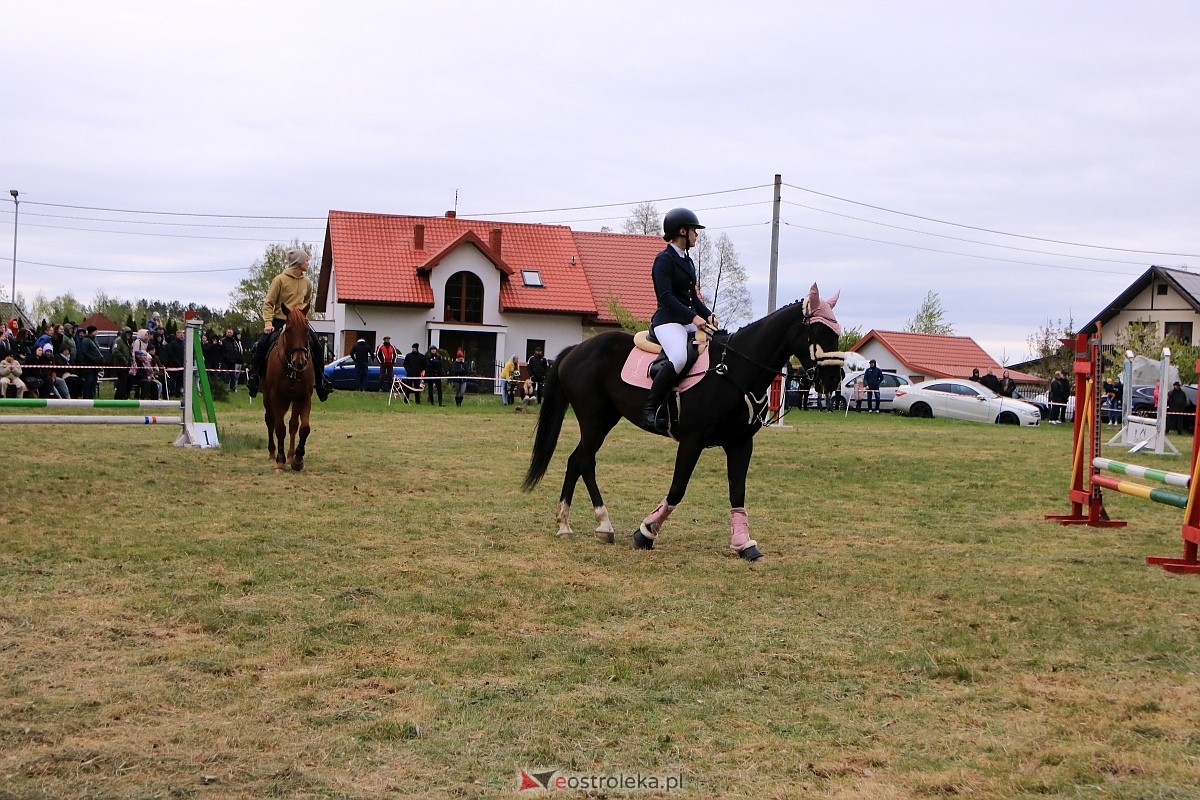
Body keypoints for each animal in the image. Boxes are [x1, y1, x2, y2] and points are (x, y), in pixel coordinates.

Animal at [264, 304, 314, 470]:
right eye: (288, 331)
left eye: (306, 330)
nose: (299, 362)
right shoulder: (276, 396)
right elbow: (280, 428)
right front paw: (280, 459)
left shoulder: (304, 397)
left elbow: (303, 428)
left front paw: (298, 459)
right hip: (267, 397)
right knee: (270, 420)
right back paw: (272, 453)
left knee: (293, 424)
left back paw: (291, 456)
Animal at [523, 284, 844, 561]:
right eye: (819, 330)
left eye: (837, 332)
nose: (833, 380)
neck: (735, 369)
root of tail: (576, 349)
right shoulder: (692, 441)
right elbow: (677, 489)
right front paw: (646, 532)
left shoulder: (740, 443)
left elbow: (737, 492)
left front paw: (744, 544)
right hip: (594, 419)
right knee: (584, 461)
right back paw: (589, 523)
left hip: (605, 419)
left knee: (578, 460)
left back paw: (579, 524)